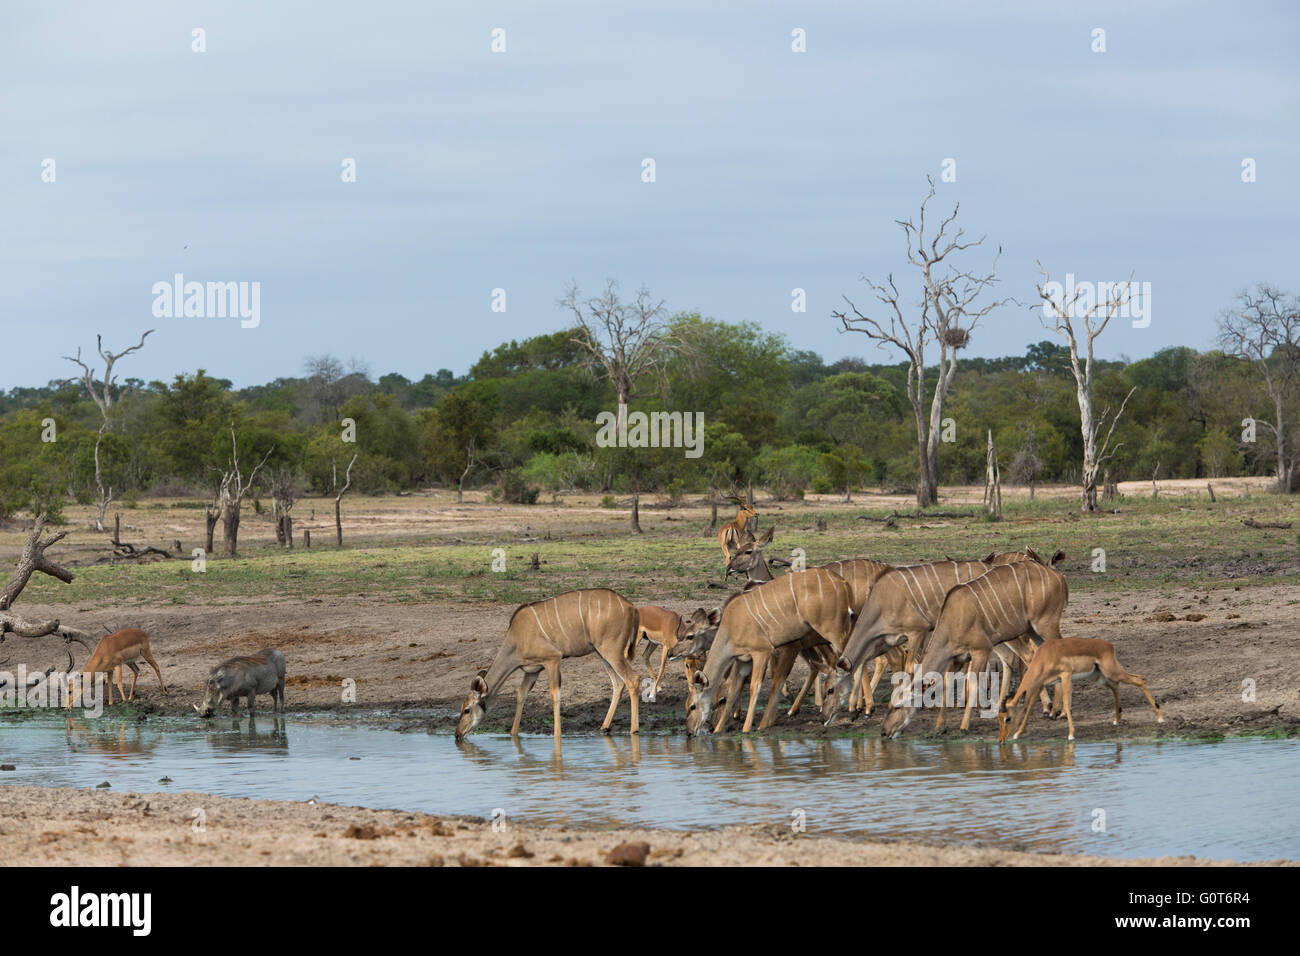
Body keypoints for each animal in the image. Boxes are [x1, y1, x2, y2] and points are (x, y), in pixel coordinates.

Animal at [454, 587, 642, 743]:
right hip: (601, 653)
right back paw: (604, 727)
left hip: (611, 651)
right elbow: (521, 695)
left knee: (633, 679)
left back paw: (634, 730)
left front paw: (557, 734)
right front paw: (513, 734)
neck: (516, 639)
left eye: (466, 710)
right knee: (618, 683)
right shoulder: (532, 670)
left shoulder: (553, 659)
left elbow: (554, 694)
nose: (457, 734)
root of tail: (631, 606)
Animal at [681, 567, 852, 733]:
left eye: (693, 706)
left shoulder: (762, 652)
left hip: (833, 632)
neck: (730, 628)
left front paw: (749, 728)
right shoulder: (744, 660)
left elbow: (756, 686)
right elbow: (735, 690)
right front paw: (719, 731)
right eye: (686, 707)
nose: (689, 732)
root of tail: (841, 581)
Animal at [878, 554, 1071, 738]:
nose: (884, 732)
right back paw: (1050, 709)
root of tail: (1059, 576)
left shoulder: (981, 650)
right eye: (889, 705)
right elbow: (947, 684)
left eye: (897, 706)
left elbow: (972, 684)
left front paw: (964, 726)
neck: (953, 618)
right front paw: (939, 727)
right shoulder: (956, 658)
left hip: (1046, 624)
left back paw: (1058, 712)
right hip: (1032, 630)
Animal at [998, 639, 1164, 743]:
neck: (1046, 655)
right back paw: (1116, 720)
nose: (1000, 740)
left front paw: (1071, 734)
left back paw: (1160, 718)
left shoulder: (1065, 676)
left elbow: (1066, 702)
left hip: (1112, 671)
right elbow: (1029, 706)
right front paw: (1017, 734)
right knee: (1116, 687)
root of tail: (1109, 645)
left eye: (1008, 718)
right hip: (1100, 677)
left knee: (1138, 679)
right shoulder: (1041, 683)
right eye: (999, 718)